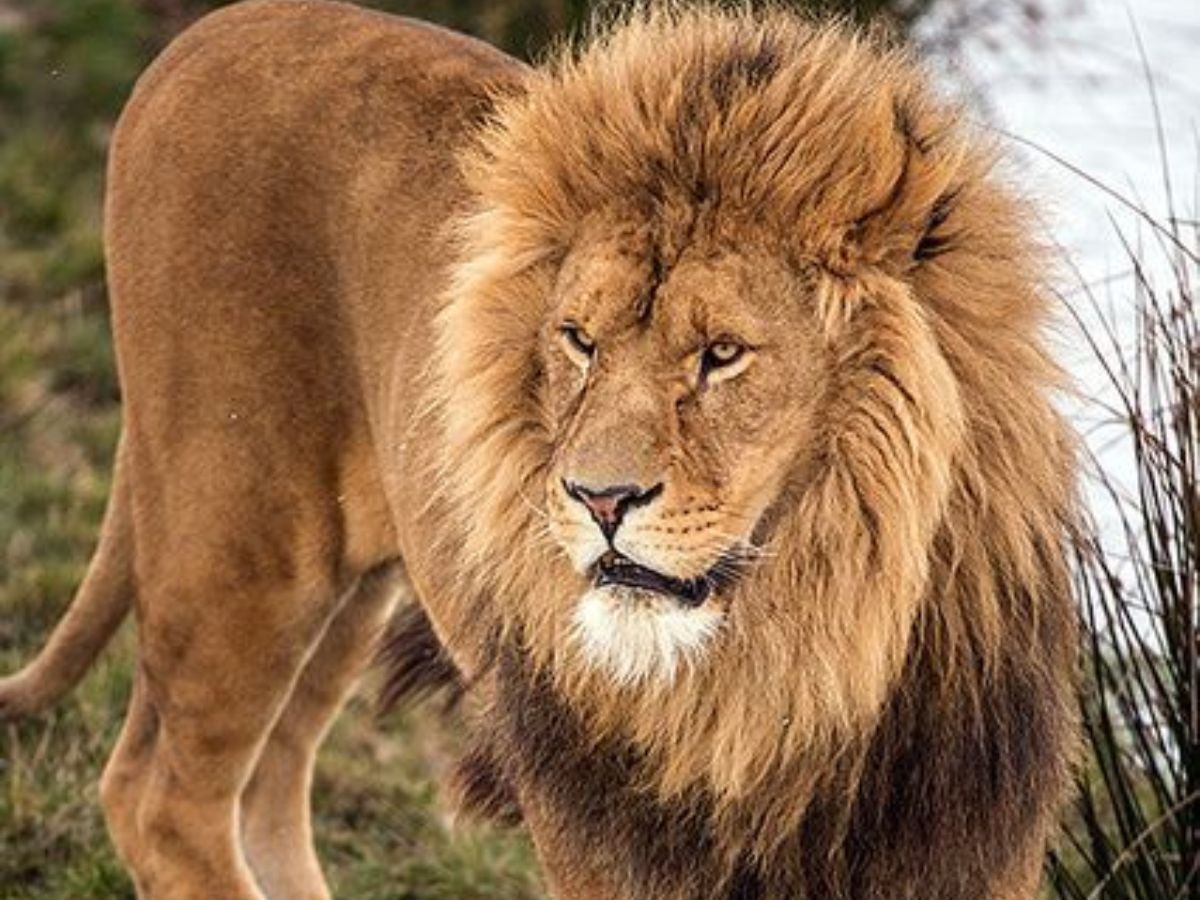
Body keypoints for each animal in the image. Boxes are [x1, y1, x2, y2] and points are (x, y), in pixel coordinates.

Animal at [0, 1, 1078, 898]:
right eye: (578, 340)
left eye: (722, 354)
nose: (599, 499)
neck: (801, 660)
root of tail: (201, 36)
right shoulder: (604, 840)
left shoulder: (967, 840)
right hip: (242, 531)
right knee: (161, 800)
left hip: (353, 579)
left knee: (263, 789)